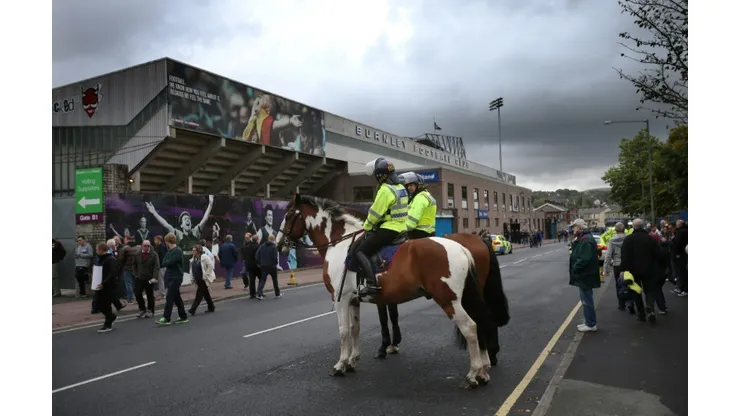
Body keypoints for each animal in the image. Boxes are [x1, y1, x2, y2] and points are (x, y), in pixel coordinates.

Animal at [276, 193, 498, 388]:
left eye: (289, 215)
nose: (278, 244)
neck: (340, 243)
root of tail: (462, 248)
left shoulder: (341, 299)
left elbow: (343, 331)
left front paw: (340, 365)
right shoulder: (353, 300)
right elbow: (355, 328)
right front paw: (352, 361)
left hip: (448, 299)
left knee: (470, 327)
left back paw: (473, 374)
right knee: (481, 324)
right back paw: (484, 371)